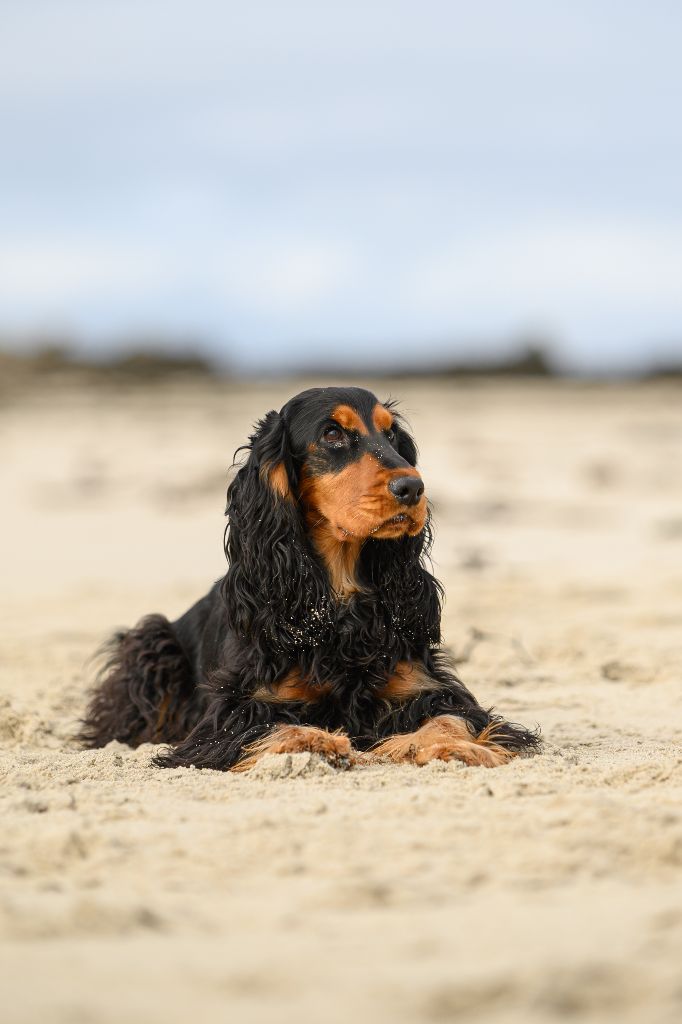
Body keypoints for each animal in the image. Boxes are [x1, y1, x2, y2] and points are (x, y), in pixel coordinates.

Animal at [78, 387, 536, 770]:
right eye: (332, 433)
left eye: (392, 435)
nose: (412, 487)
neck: (338, 594)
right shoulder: (237, 705)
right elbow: (267, 725)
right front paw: (319, 741)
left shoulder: (425, 686)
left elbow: (452, 718)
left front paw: (454, 746)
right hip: (152, 641)